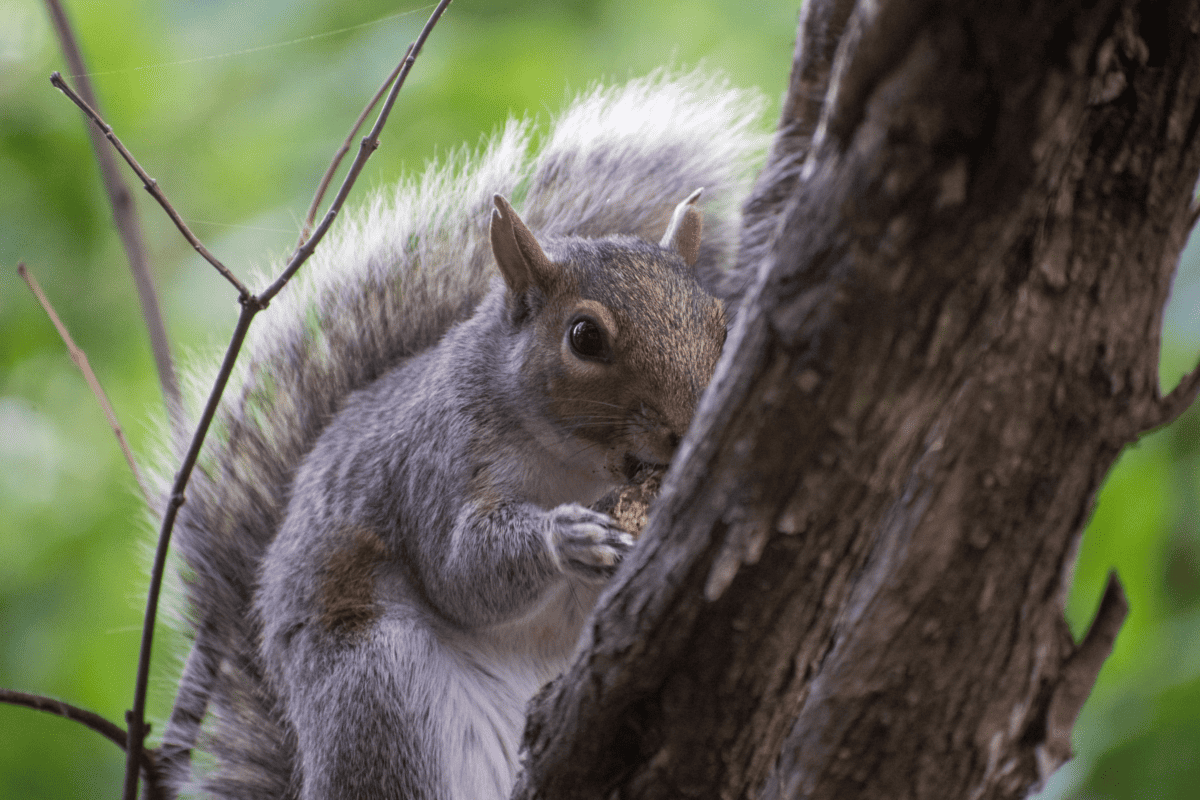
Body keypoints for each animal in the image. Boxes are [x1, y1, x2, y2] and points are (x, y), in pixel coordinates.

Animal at [154, 70, 763, 800]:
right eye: (584, 337)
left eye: (719, 321)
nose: (692, 422)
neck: (576, 462)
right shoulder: (437, 465)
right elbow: (460, 573)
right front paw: (567, 534)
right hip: (380, 688)